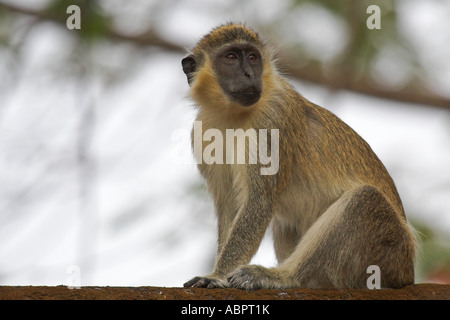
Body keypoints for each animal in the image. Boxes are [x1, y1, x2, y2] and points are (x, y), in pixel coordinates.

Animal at [179, 21, 414, 288]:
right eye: (231, 57)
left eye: (252, 57)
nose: (249, 75)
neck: (232, 115)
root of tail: (407, 272)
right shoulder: (202, 132)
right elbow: (230, 206)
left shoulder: (273, 117)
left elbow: (259, 202)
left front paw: (217, 276)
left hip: (389, 249)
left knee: (364, 200)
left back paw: (284, 277)